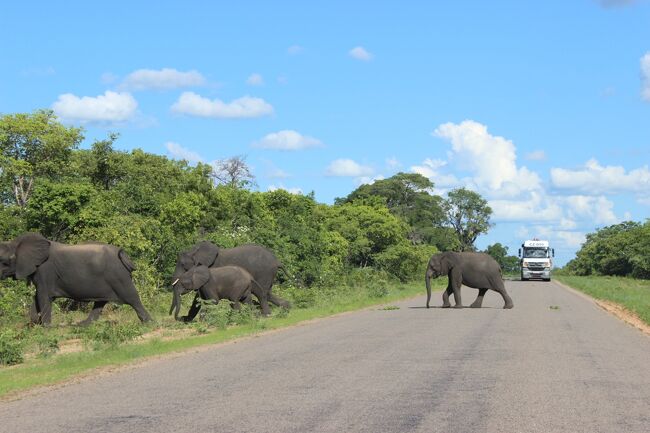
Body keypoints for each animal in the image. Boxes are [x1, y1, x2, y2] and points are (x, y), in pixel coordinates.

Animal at [0, 233, 151, 324]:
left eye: (4, 262)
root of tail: (123, 253)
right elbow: (37, 297)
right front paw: (34, 325)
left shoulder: (45, 271)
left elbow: (44, 296)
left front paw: (45, 329)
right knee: (100, 302)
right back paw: (83, 325)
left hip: (118, 276)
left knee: (132, 297)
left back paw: (149, 323)